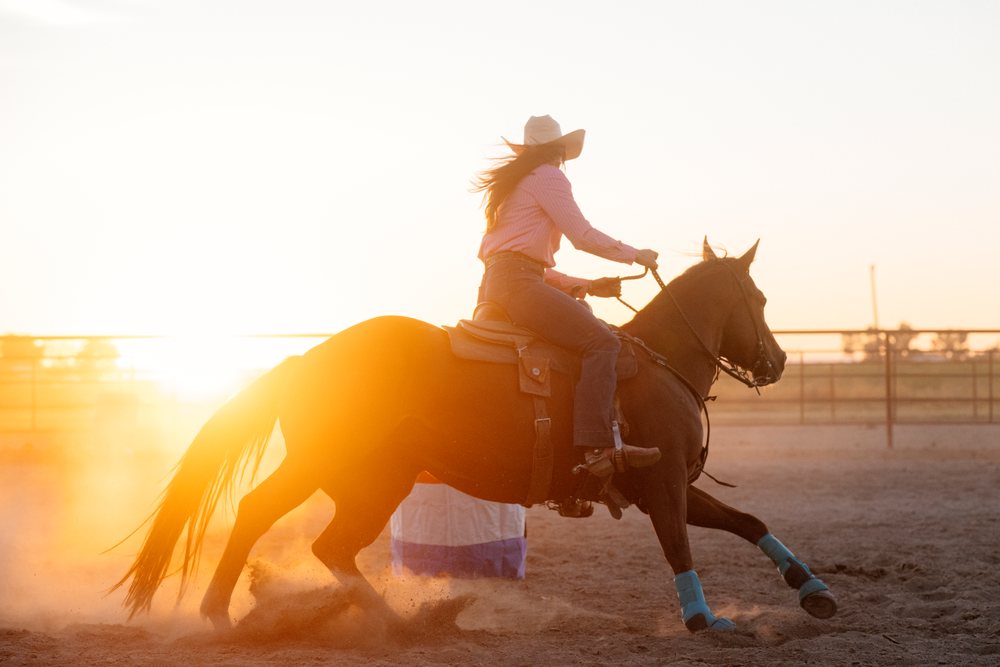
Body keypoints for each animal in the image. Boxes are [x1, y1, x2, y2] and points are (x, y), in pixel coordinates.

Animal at [114, 238, 837, 634]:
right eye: (760, 300)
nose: (776, 361)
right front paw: (703, 617)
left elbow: (748, 520)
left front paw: (813, 590)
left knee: (318, 540)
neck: (656, 364)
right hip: (339, 470)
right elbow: (679, 548)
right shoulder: (660, 483)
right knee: (278, 520)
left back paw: (391, 621)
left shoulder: (670, 485)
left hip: (366, 480)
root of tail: (307, 357)